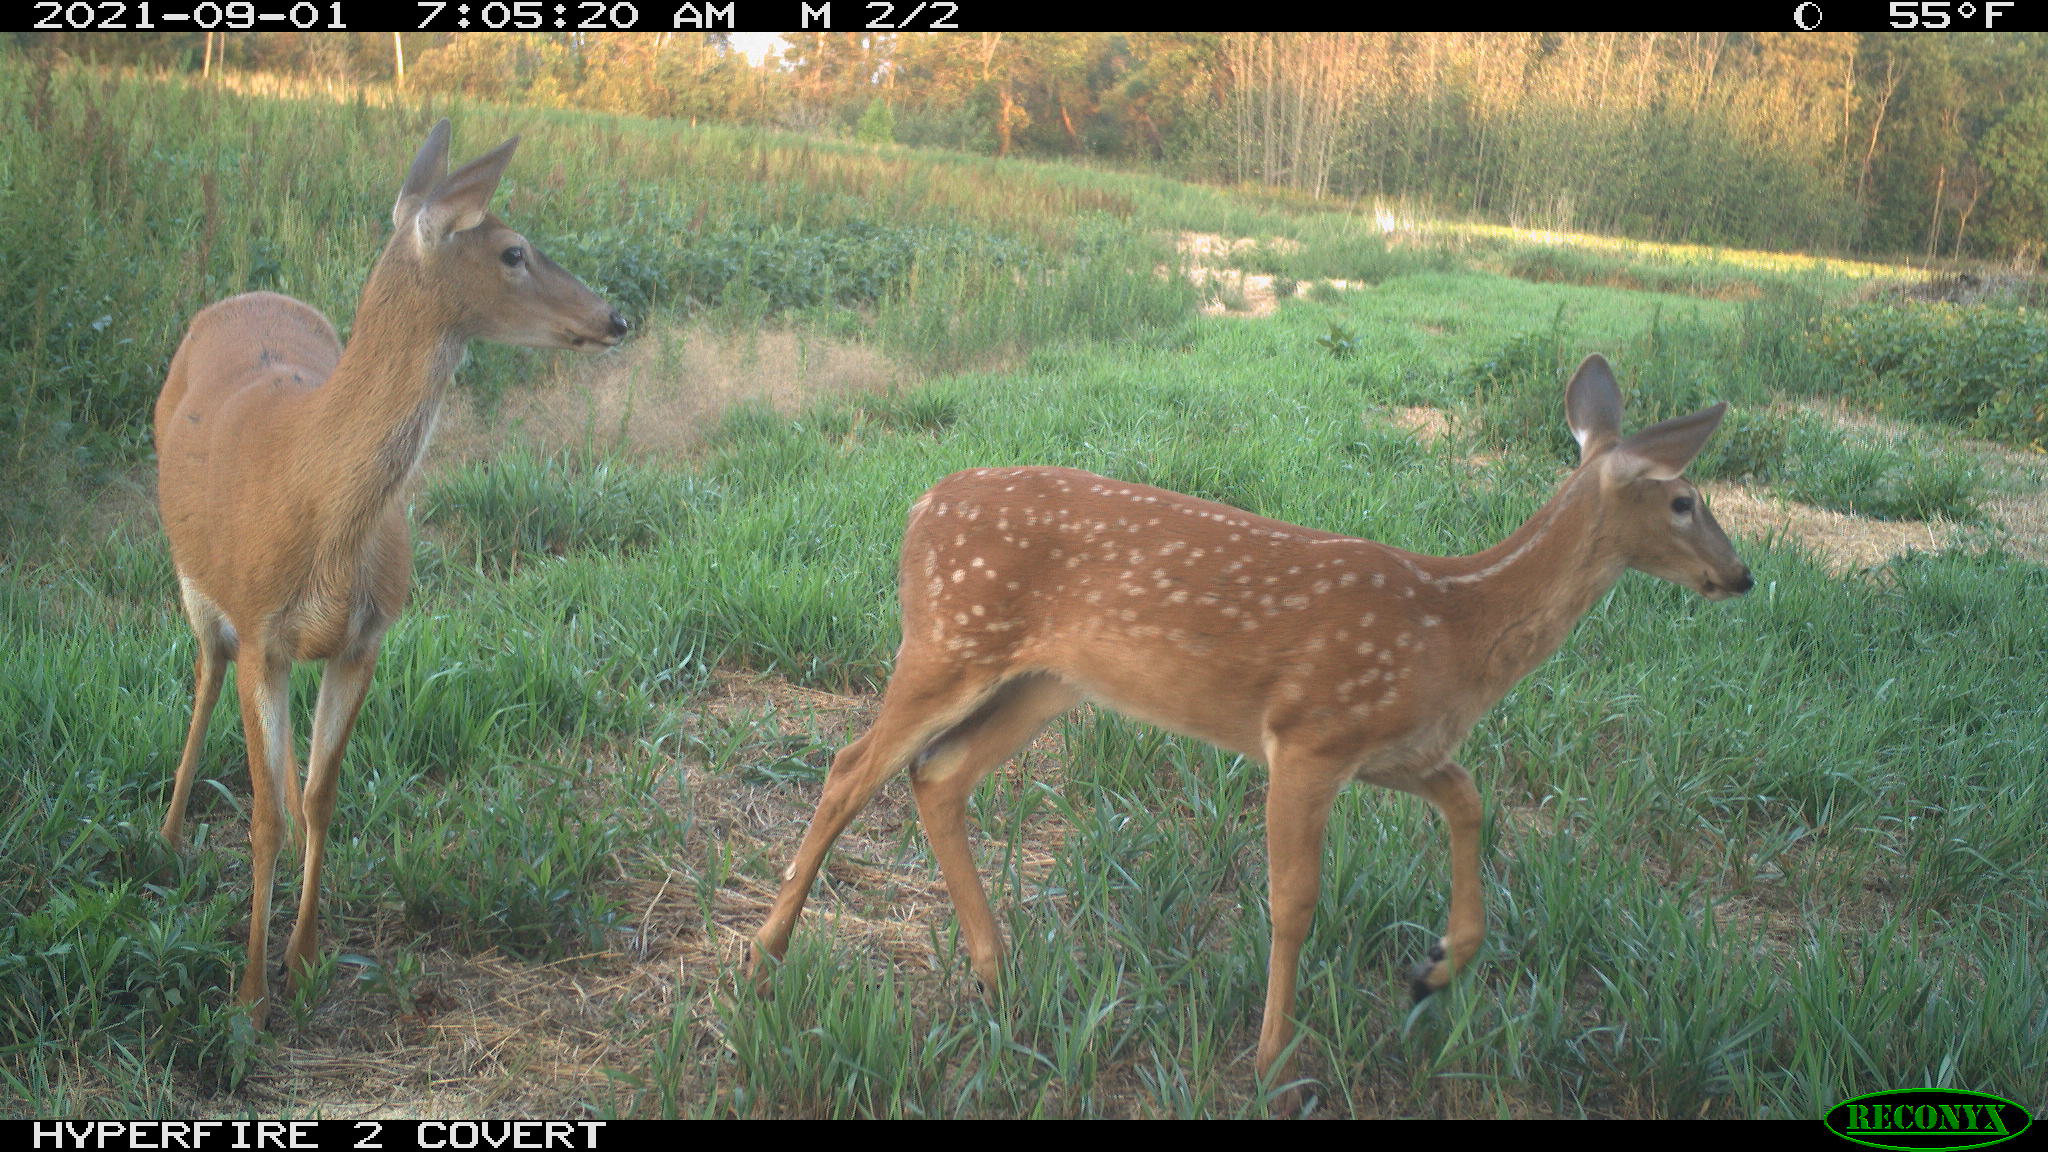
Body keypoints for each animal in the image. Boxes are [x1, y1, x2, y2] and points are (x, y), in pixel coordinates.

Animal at [154, 118, 622, 1020]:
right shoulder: (262, 630)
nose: (615, 315)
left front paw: (303, 960)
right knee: (204, 666)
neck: (316, 501)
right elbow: (266, 814)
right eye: (514, 250)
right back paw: (165, 832)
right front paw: (249, 993)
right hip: (198, 583)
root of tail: (242, 296)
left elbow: (316, 795)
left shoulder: (366, 638)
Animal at [753, 354, 1744, 1098]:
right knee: (852, 765)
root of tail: (921, 506)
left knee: (938, 773)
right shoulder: (1310, 734)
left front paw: (1433, 968)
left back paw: (997, 973)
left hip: (1044, 682)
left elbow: (1470, 802)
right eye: (1684, 500)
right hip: (950, 636)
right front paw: (1273, 1063)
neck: (1455, 625)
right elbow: (1294, 901)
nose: (1741, 577)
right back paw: (767, 952)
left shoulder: (1396, 746)